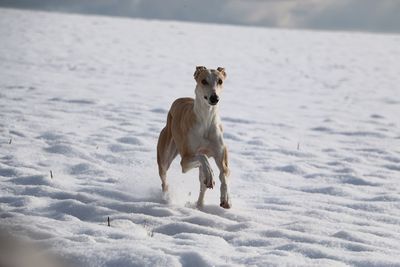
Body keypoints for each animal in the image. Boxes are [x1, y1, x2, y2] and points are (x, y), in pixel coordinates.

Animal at [157, 66, 231, 209]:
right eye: (204, 81)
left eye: (220, 81)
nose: (214, 98)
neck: (206, 120)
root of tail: (179, 99)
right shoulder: (185, 162)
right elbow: (202, 157)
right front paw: (210, 173)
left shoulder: (221, 155)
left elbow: (224, 174)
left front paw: (226, 199)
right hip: (165, 156)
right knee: (164, 180)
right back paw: (166, 197)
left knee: (203, 183)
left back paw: (200, 203)